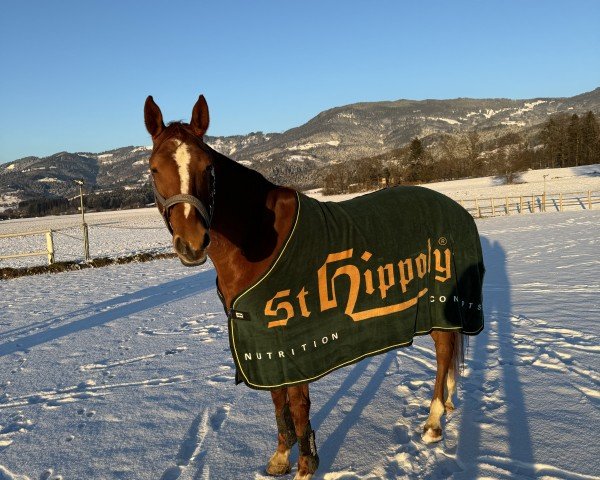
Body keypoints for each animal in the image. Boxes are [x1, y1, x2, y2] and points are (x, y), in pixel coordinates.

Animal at [142, 94, 482, 480]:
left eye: (208, 167)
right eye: (154, 168)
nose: (192, 243)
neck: (258, 238)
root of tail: (456, 208)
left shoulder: (292, 343)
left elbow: (297, 404)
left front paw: (306, 465)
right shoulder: (263, 341)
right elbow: (278, 402)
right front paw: (280, 457)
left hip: (440, 305)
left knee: (443, 354)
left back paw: (434, 421)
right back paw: (448, 404)